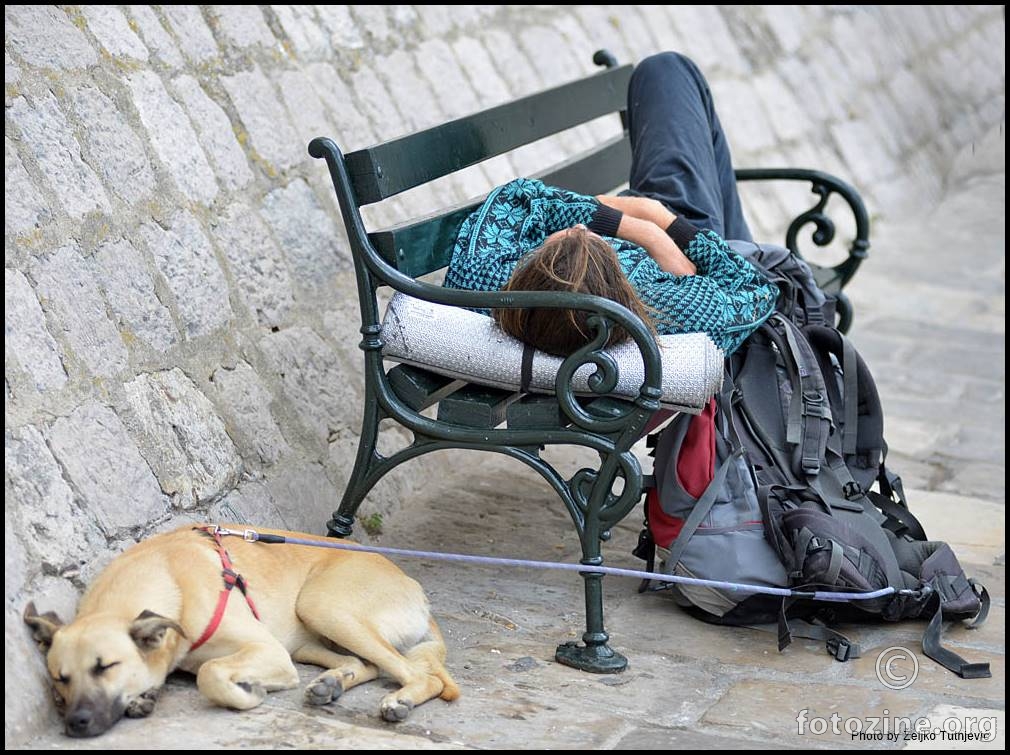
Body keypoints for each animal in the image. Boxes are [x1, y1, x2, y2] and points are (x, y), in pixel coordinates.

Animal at [23, 524, 458, 738]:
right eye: (60, 680)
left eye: (106, 667)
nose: (75, 724)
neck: (167, 578)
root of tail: (415, 587)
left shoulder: (266, 651)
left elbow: (209, 672)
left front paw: (245, 695)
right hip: (308, 639)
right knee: (364, 662)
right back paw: (331, 683)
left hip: (322, 606)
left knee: (421, 676)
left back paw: (400, 699)